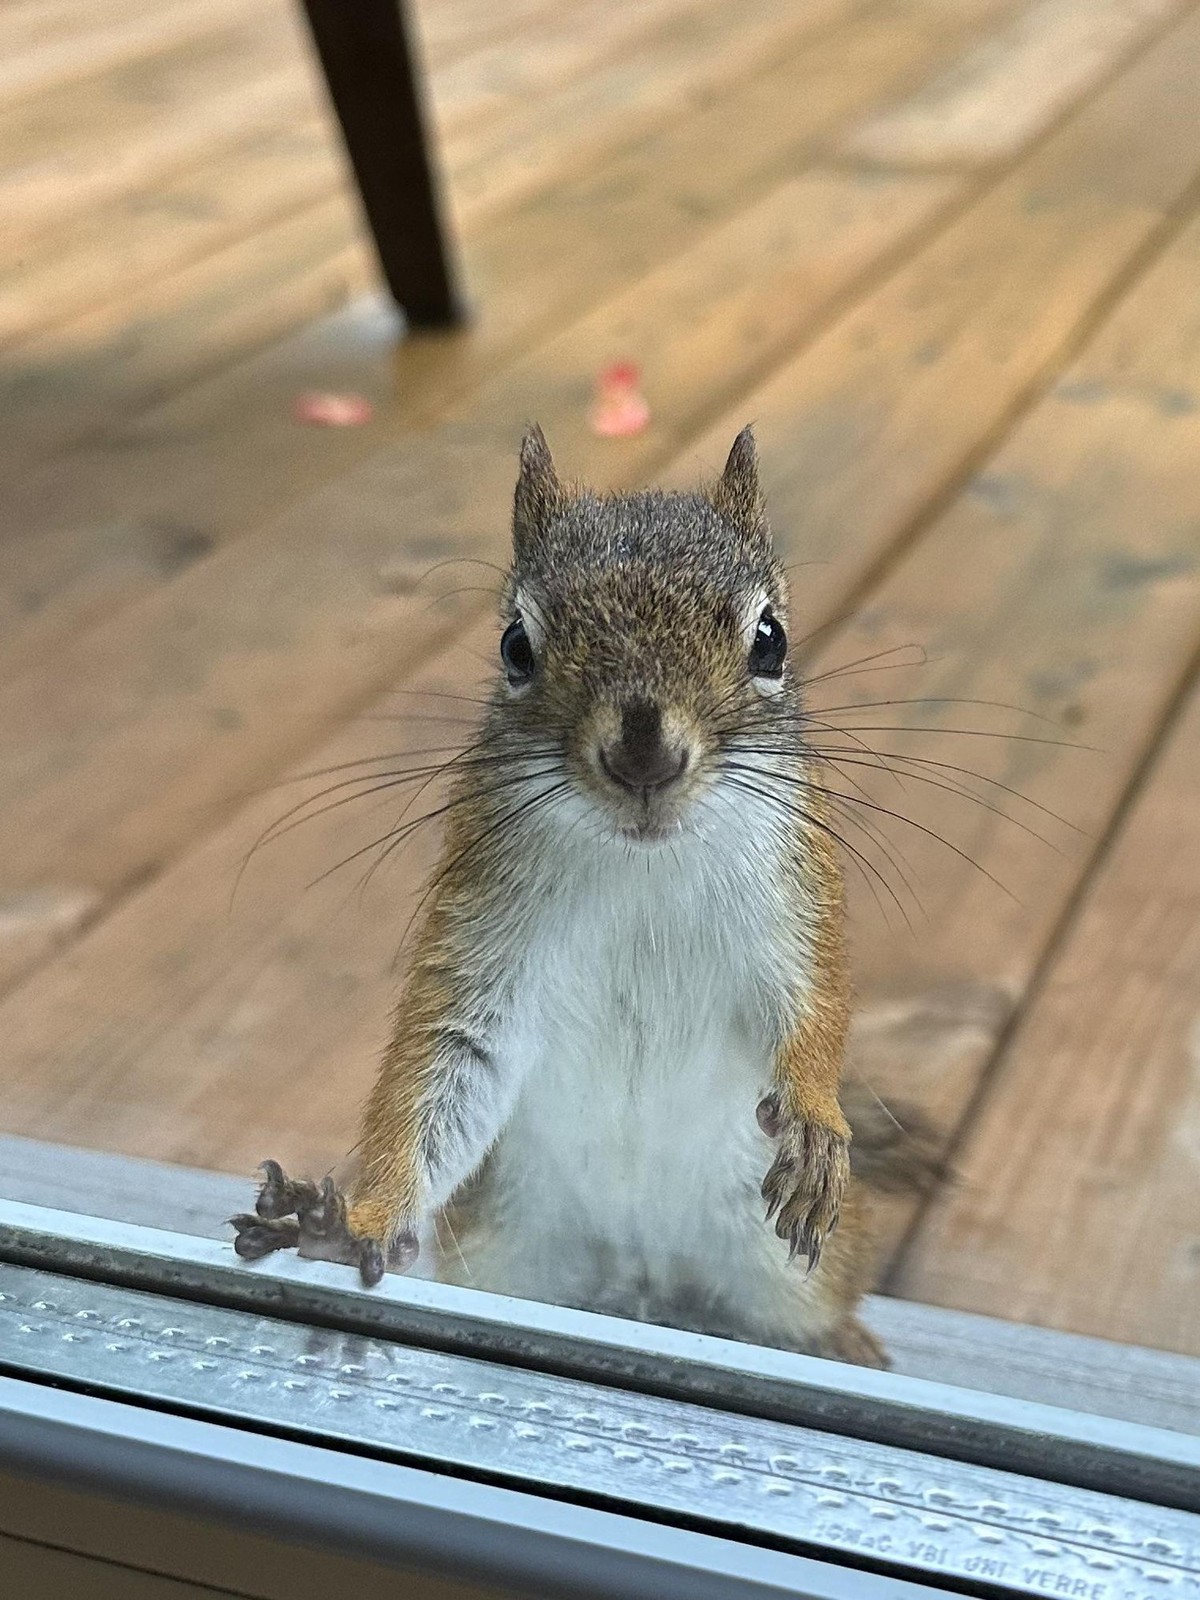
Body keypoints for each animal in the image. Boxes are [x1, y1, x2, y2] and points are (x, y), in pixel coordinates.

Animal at [232, 424, 930, 1368]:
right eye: (514, 647)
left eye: (771, 640)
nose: (644, 756)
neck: (640, 868)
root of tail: (639, 1277)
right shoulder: (485, 920)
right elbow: (448, 1062)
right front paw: (359, 1222)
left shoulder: (794, 895)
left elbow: (815, 1008)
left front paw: (817, 1119)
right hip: (501, 1240)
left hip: (788, 1266)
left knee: (811, 1309)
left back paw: (846, 1346)